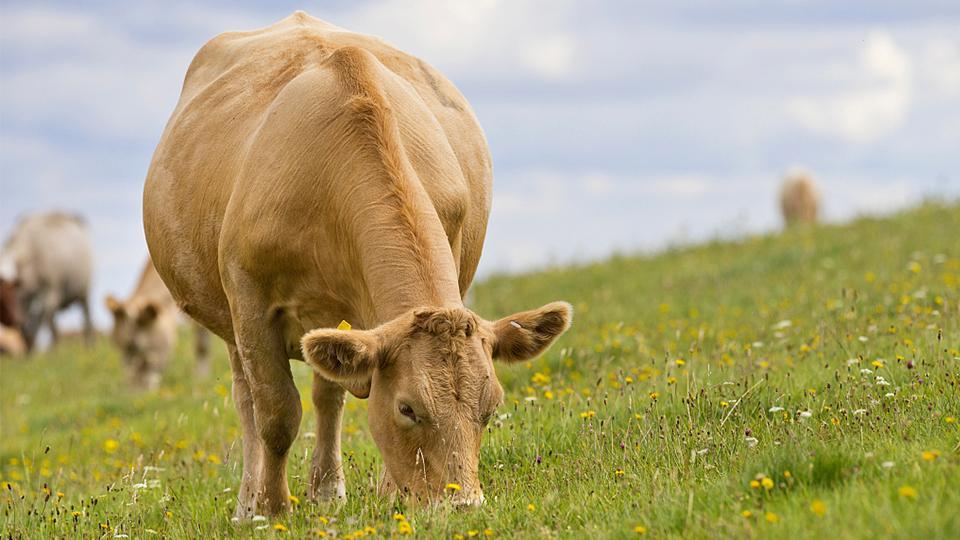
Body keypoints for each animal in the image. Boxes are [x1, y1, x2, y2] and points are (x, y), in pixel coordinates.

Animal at [0, 211, 94, 350]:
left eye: (8, 287)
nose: (14, 320)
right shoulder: (23, 300)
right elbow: (28, 328)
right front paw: (30, 352)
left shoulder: (50, 291)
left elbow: (42, 322)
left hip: (84, 291)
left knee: (86, 319)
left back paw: (89, 347)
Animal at [142, 11, 568, 520]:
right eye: (408, 409)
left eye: (489, 408)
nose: (462, 503)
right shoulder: (249, 300)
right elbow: (276, 413)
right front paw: (273, 508)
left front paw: (387, 492)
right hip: (227, 318)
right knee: (247, 399)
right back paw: (249, 504)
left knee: (328, 397)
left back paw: (327, 489)